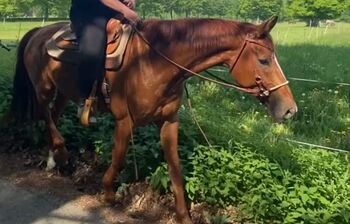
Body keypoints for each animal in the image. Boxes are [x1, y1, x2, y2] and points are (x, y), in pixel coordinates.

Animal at [10, 16, 296, 224]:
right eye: (264, 60)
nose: (290, 110)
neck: (154, 61)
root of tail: (39, 31)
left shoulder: (169, 122)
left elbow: (175, 167)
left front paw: (183, 215)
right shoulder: (124, 121)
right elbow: (119, 156)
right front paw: (108, 193)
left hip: (64, 92)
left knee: (54, 115)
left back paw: (53, 159)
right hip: (44, 86)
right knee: (45, 113)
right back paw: (60, 151)